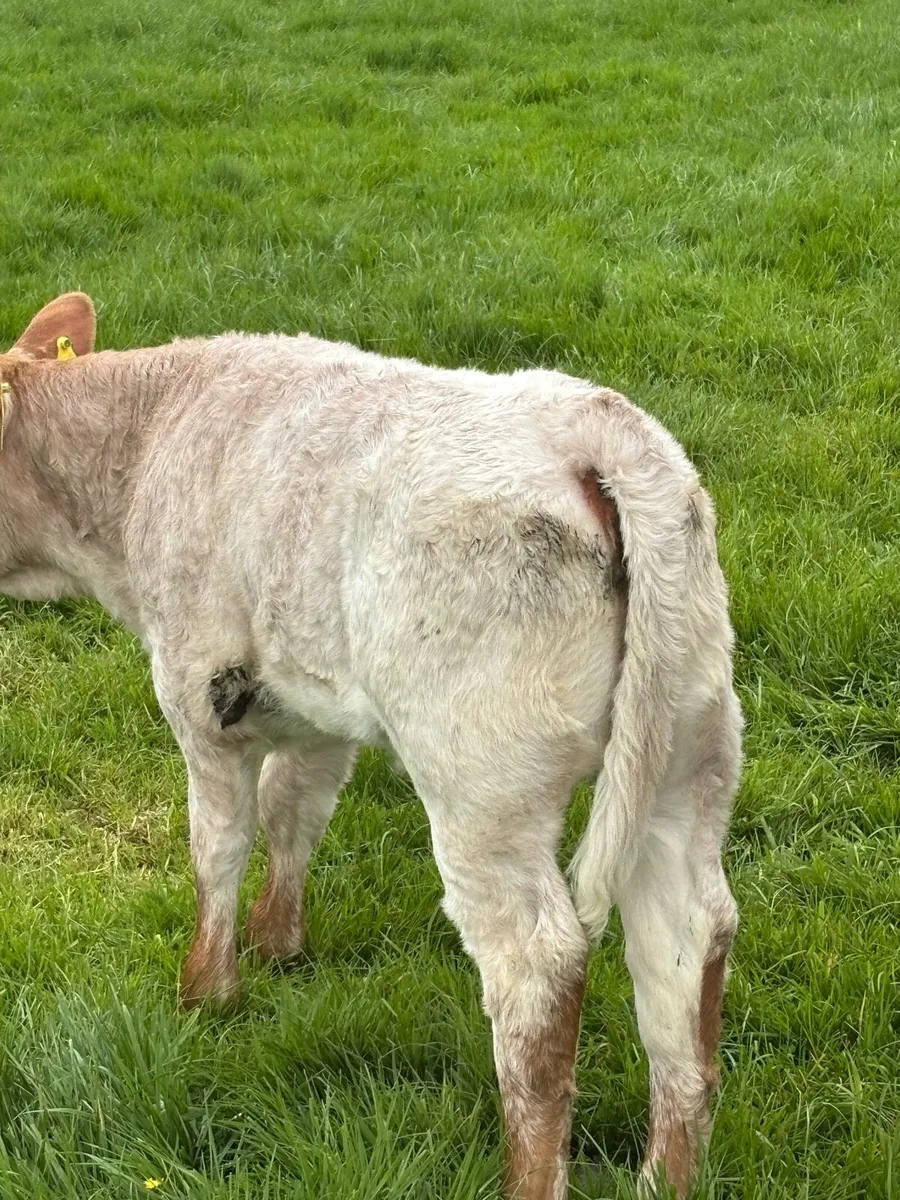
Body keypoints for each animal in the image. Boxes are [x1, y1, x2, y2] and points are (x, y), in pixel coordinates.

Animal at [0, 293, 741, 1199]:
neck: (143, 443)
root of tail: (598, 429)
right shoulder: (311, 703)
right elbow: (295, 812)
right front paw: (277, 946)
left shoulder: (195, 690)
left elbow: (218, 846)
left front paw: (208, 992)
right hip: (688, 749)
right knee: (688, 944)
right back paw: (667, 1174)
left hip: (483, 785)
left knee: (536, 967)